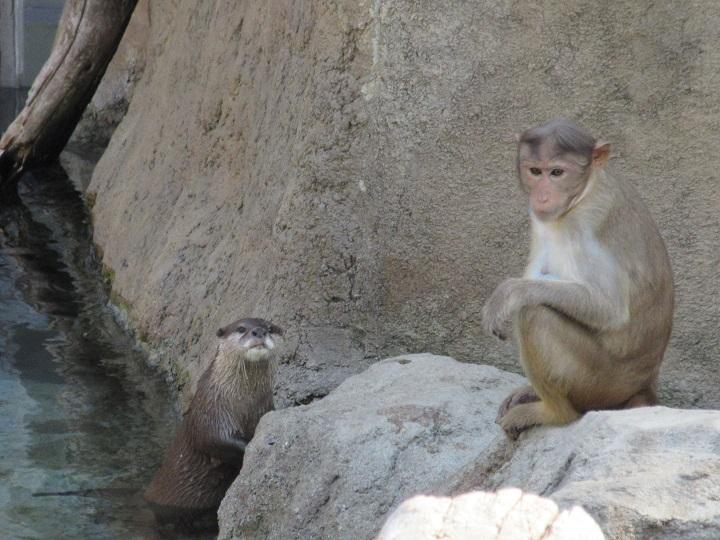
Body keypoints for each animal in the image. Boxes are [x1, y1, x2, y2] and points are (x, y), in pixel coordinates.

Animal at [143, 316, 284, 524]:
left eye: (270, 328)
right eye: (241, 328)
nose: (259, 331)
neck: (243, 404)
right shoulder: (211, 414)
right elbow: (214, 440)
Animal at [484, 118, 676, 438]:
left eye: (557, 172)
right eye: (535, 171)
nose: (542, 196)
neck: (586, 190)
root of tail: (643, 385)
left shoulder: (583, 226)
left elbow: (610, 309)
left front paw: (509, 293)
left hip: (600, 381)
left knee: (534, 314)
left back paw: (553, 412)